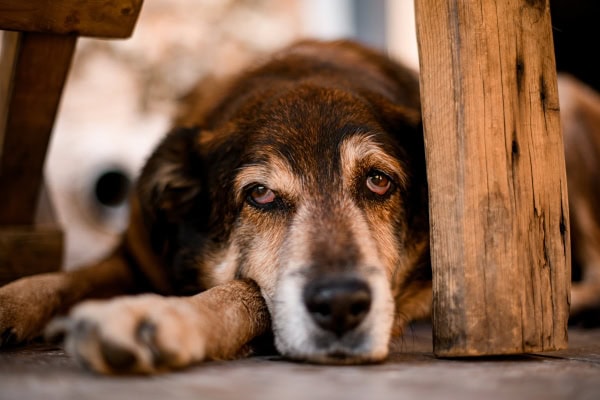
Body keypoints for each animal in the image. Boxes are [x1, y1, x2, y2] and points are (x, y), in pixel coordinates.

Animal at [0, 39, 596, 374]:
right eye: (259, 194)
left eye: (378, 181)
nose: (342, 306)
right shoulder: (133, 254)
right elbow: (60, 279)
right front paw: (12, 302)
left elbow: (247, 293)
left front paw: (159, 318)